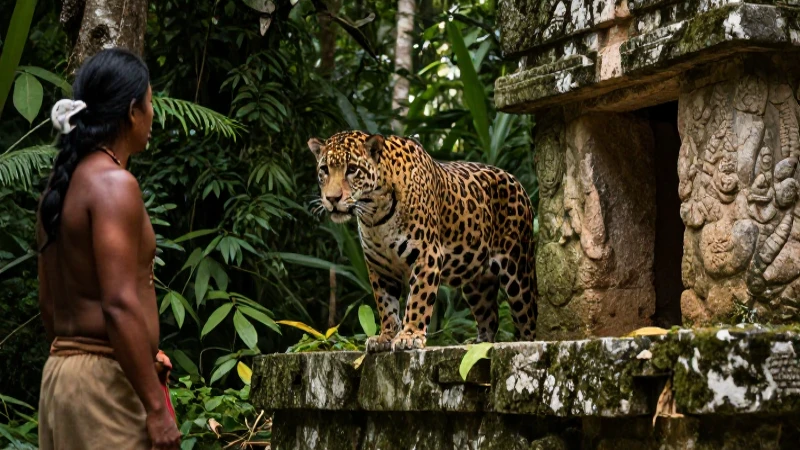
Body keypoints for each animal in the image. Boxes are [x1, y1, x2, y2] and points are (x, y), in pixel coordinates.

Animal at [307, 130, 537, 351]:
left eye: (353, 169)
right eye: (324, 169)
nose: (332, 199)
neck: (374, 212)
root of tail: (518, 182)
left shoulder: (427, 255)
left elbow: (418, 300)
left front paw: (409, 337)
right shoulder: (380, 267)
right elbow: (386, 305)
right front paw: (385, 337)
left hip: (518, 273)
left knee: (527, 319)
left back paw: (524, 342)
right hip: (477, 283)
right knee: (490, 318)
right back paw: (479, 344)